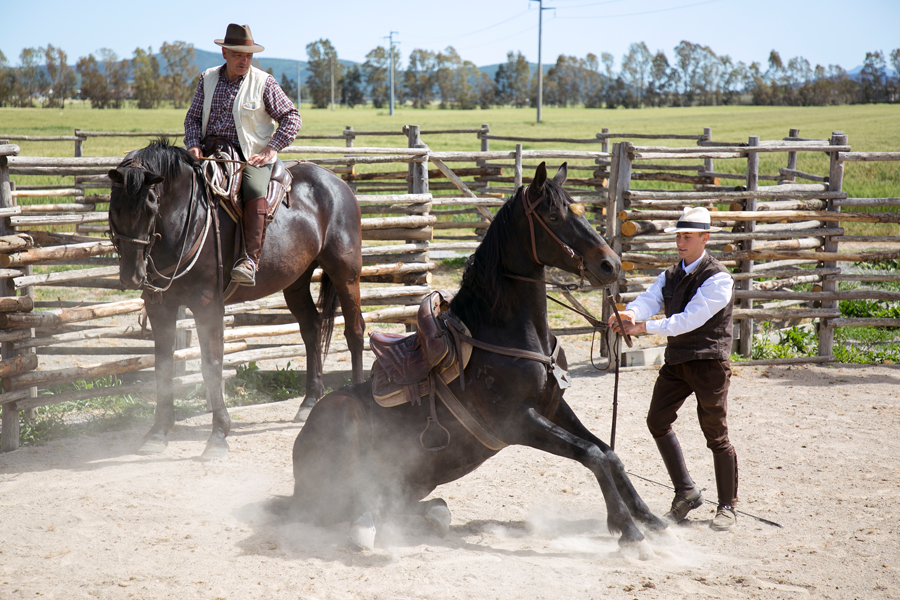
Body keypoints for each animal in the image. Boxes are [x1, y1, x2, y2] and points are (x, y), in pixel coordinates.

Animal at [109, 141, 366, 460]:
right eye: (113, 206)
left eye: (152, 203)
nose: (131, 275)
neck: (188, 222)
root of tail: (336, 183)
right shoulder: (160, 306)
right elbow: (163, 366)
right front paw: (157, 433)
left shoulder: (207, 306)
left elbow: (212, 365)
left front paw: (218, 435)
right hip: (296, 281)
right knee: (312, 328)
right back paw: (309, 403)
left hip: (346, 273)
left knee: (354, 331)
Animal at [292, 164, 664, 556]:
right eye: (553, 216)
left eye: (578, 211)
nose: (610, 264)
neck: (504, 335)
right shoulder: (516, 422)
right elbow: (593, 454)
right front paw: (628, 530)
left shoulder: (553, 409)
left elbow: (608, 452)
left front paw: (650, 519)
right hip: (342, 422)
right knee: (339, 506)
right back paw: (367, 529)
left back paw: (432, 515)